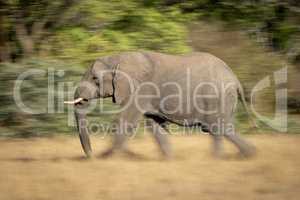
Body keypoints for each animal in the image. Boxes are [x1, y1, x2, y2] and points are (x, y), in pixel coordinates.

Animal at [65, 50, 255, 159]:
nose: (91, 155)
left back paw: (216, 159)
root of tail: (235, 78)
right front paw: (169, 159)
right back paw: (249, 154)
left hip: (215, 97)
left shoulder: (140, 88)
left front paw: (108, 157)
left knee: (216, 128)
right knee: (223, 128)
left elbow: (126, 120)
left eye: (94, 79)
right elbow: (154, 125)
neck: (117, 58)